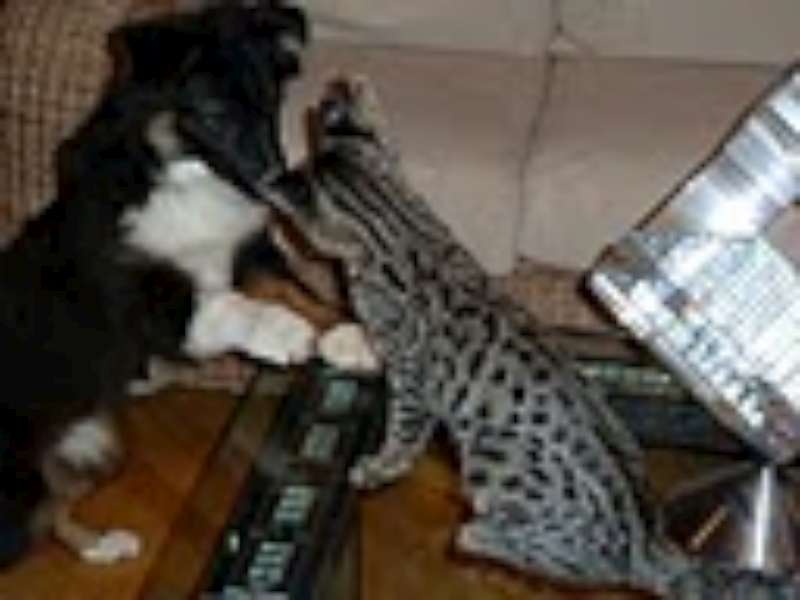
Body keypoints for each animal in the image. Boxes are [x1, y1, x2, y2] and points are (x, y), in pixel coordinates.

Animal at [0, 1, 374, 567]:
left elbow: (295, 289)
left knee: (55, 513)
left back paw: (104, 546)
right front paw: (285, 333)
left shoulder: (250, 253)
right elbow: (227, 305)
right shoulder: (140, 299)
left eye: (272, 104)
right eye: (215, 113)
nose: (277, 186)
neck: (182, 179)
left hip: (98, 443)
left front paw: (350, 335)